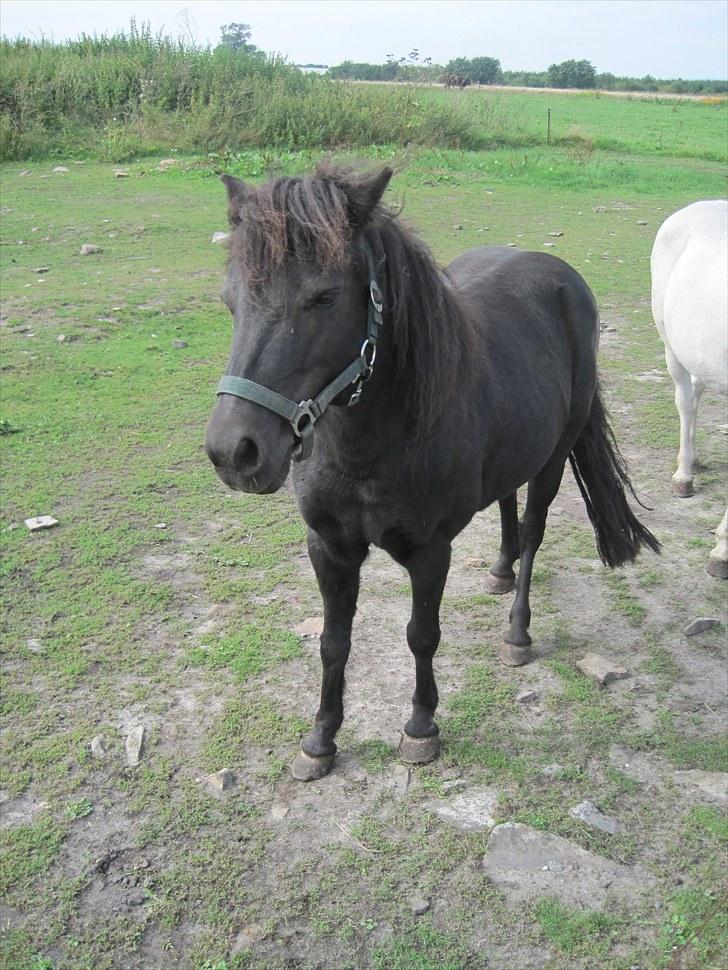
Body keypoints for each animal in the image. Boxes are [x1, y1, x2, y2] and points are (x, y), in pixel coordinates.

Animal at [205, 161, 660, 780]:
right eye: (230, 300)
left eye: (323, 297)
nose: (234, 451)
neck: (369, 446)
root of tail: (565, 281)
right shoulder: (329, 547)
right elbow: (333, 641)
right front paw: (320, 738)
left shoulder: (429, 551)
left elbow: (422, 636)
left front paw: (421, 727)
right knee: (506, 503)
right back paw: (499, 570)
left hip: (553, 458)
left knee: (533, 531)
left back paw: (517, 630)